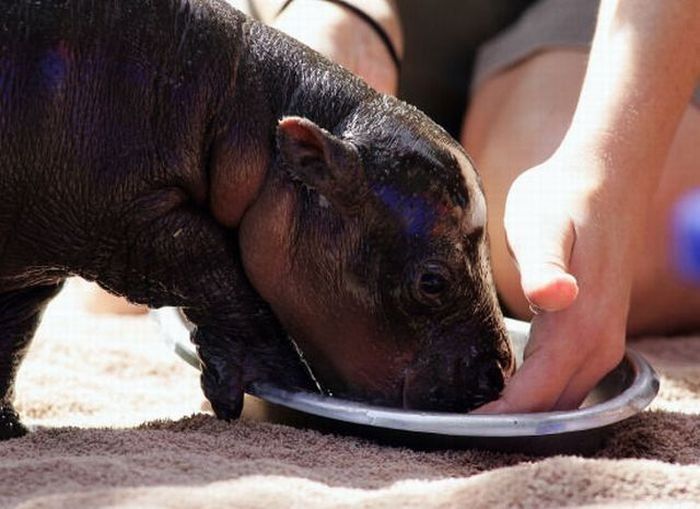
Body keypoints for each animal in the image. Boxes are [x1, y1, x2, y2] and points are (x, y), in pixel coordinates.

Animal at [0, 0, 516, 438]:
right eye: (433, 282)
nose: (500, 375)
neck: (233, 109)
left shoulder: (32, 269)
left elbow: (12, 334)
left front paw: (12, 432)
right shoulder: (125, 218)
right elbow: (213, 265)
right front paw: (282, 379)